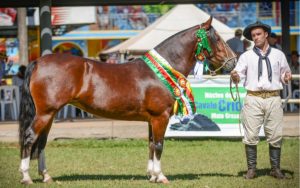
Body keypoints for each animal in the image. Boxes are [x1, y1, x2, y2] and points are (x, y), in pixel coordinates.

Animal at [18, 16, 237, 184]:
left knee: (41, 142)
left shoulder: (152, 119)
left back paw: (46, 177)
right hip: (45, 113)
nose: (233, 61)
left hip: (50, 114)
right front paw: (161, 176)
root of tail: (38, 62)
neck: (159, 72)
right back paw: (26, 177)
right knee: (30, 137)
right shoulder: (160, 117)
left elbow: (151, 144)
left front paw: (152, 176)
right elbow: (159, 145)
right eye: (217, 38)